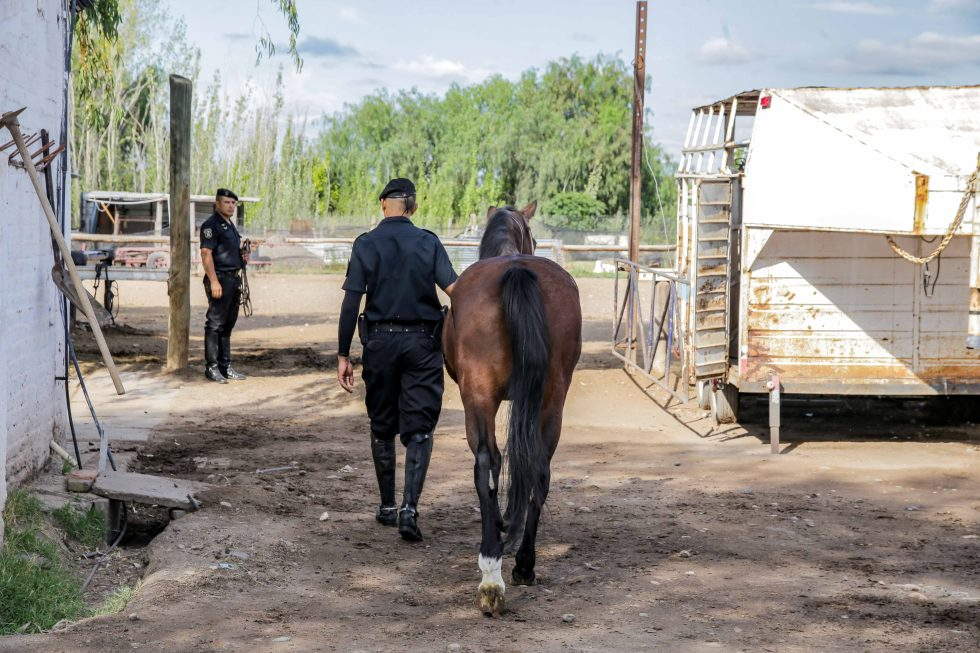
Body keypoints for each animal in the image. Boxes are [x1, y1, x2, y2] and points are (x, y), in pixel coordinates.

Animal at [442, 201, 582, 615]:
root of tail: (517, 270)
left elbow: (492, 466)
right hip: (552, 398)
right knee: (539, 468)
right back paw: (524, 563)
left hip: (478, 397)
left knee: (485, 462)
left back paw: (492, 573)